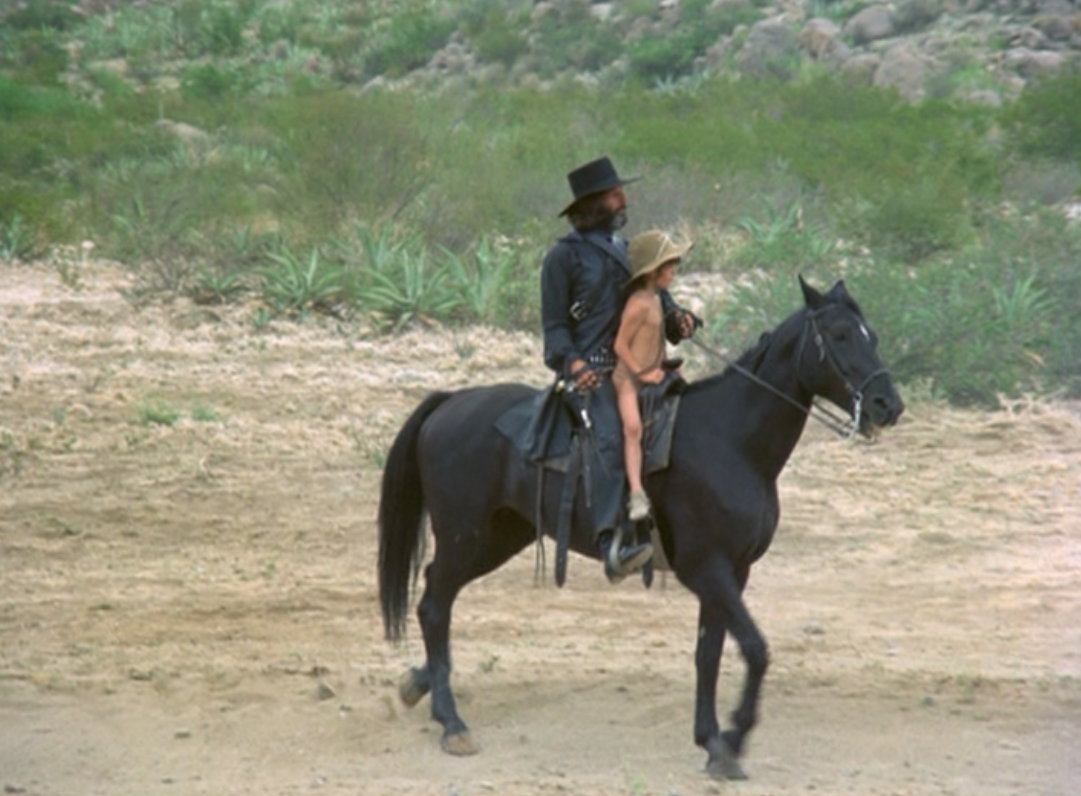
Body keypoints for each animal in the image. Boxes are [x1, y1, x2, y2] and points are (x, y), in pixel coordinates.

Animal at [377, 276, 904, 779]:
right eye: (839, 335)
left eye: (872, 336)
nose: (888, 405)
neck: (731, 440)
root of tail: (449, 402)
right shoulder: (708, 568)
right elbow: (754, 649)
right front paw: (734, 738)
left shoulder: (733, 572)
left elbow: (710, 653)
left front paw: (712, 742)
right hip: (465, 535)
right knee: (433, 605)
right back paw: (451, 722)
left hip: (500, 536)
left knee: (435, 599)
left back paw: (420, 685)